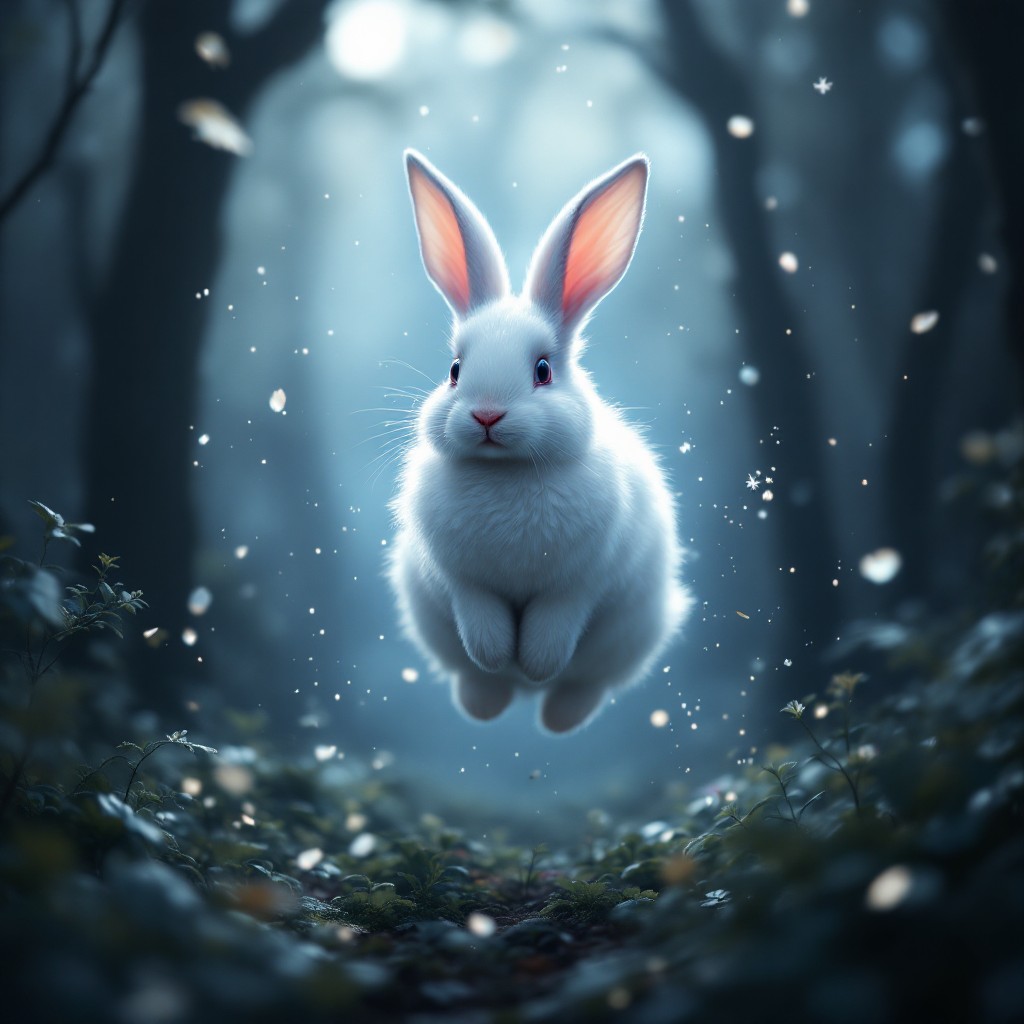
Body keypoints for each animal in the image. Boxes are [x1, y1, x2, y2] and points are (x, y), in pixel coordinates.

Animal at [388, 148, 691, 733]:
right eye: (454, 370)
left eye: (544, 370)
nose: (486, 415)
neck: (505, 474)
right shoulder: (463, 583)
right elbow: (482, 630)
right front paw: (499, 657)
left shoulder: (580, 584)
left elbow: (552, 632)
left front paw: (534, 664)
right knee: (480, 680)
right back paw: (487, 704)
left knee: (585, 685)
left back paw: (555, 716)